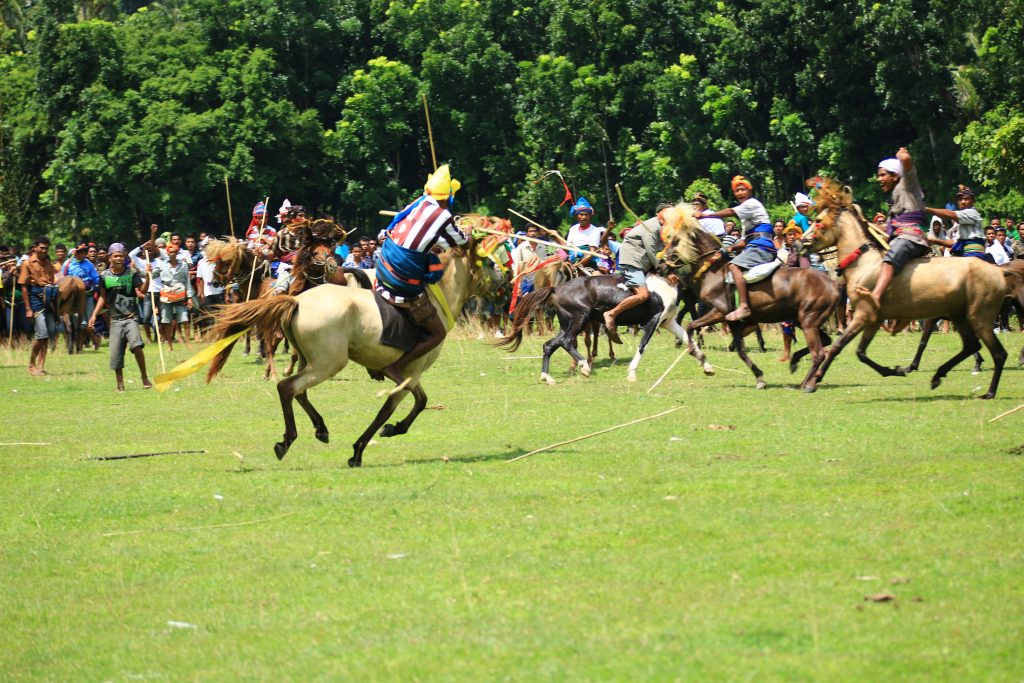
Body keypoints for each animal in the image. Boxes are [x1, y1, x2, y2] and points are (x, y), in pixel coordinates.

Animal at [203, 240, 483, 471]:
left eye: (225, 260)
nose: (215, 282)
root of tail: (298, 301)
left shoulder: (408, 376)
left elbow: (412, 402)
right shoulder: (410, 375)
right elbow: (405, 405)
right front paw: (369, 443)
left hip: (320, 362)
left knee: (296, 389)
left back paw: (314, 429)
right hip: (327, 363)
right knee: (291, 387)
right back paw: (293, 436)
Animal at [798, 180, 1024, 401]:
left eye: (818, 220)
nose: (800, 244)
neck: (863, 264)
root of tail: (998, 271)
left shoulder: (863, 315)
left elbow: (838, 347)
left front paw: (812, 382)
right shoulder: (874, 319)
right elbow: (861, 353)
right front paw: (895, 370)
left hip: (980, 317)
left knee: (998, 353)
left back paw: (989, 392)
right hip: (960, 315)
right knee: (971, 346)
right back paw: (939, 375)